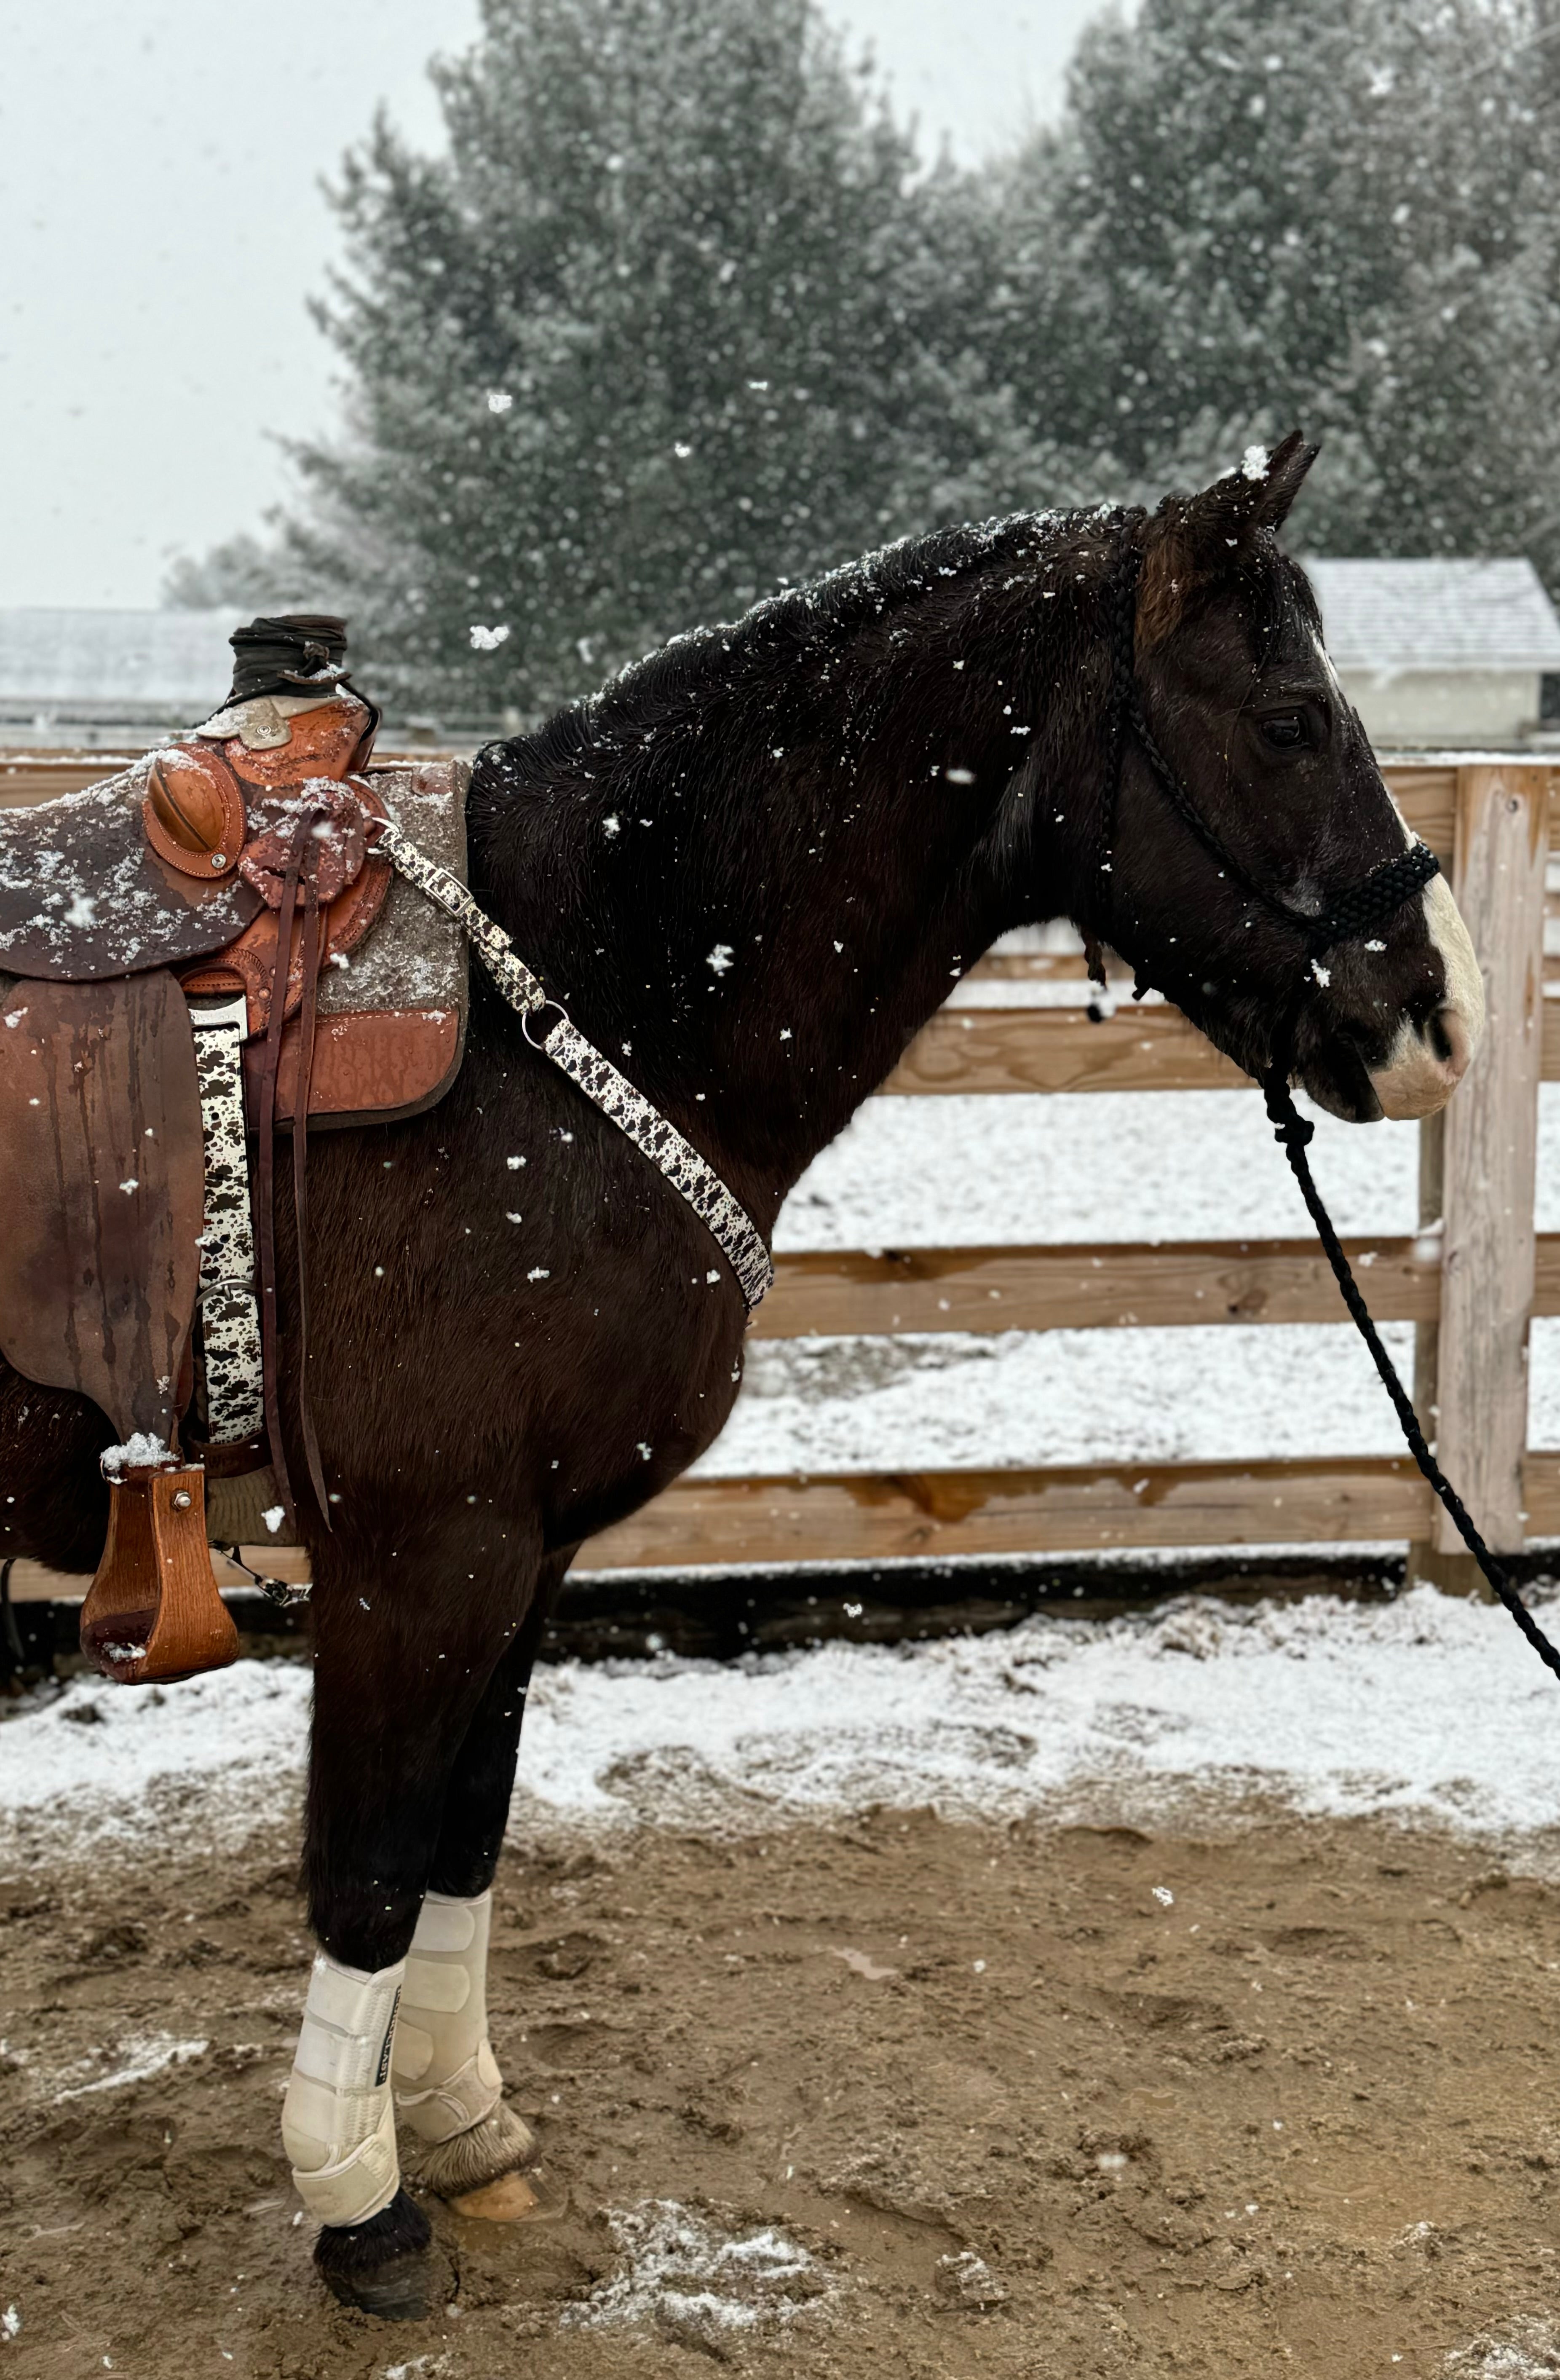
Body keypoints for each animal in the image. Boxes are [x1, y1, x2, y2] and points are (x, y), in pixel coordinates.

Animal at [0, 438, 1484, 2313]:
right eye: (1287, 718)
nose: (1444, 1014)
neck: (579, 996)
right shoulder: (423, 1553)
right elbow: (367, 1865)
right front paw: (360, 2202)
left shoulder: (520, 1554)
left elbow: (462, 1838)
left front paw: (462, 2126)